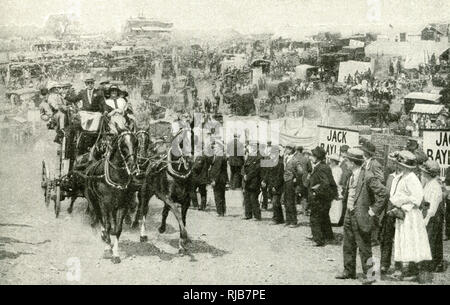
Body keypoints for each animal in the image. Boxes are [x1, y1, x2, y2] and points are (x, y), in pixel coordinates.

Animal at [81, 130, 137, 262]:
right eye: (123, 145)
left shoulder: (122, 205)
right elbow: (106, 226)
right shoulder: (104, 204)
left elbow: (117, 229)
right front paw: (107, 247)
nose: (132, 166)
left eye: (136, 143)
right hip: (94, 203)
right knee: (97, 221)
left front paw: (116, 254)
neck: (116, 177)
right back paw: (103, 238)